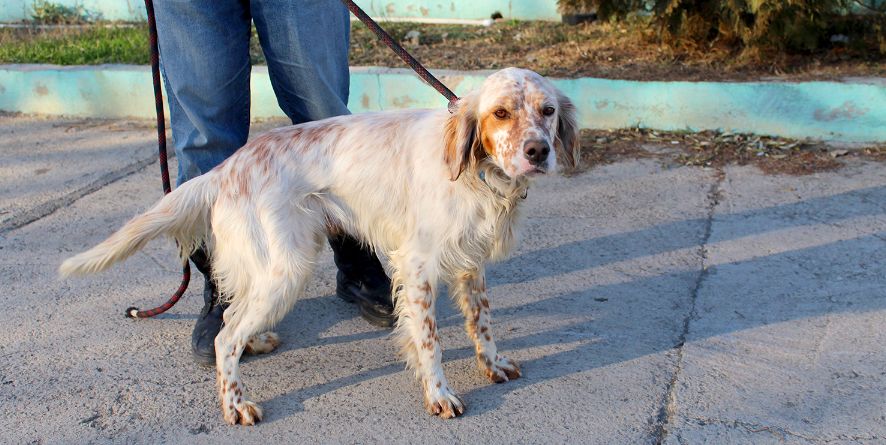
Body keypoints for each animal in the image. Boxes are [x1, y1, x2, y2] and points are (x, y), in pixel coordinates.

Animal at [57, 67, 584, 424]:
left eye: (548, 111)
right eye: (501, 113)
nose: (538, 152)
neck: (477, 173)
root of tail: (227, 168)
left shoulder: (470, 264)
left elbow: (482, 324)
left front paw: (492, 364)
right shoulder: (418, 266)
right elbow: (429, 340)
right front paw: (438, 394)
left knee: (233, 317)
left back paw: (257, 340)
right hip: (286, 266)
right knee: (225, 336)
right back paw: (236, 403)